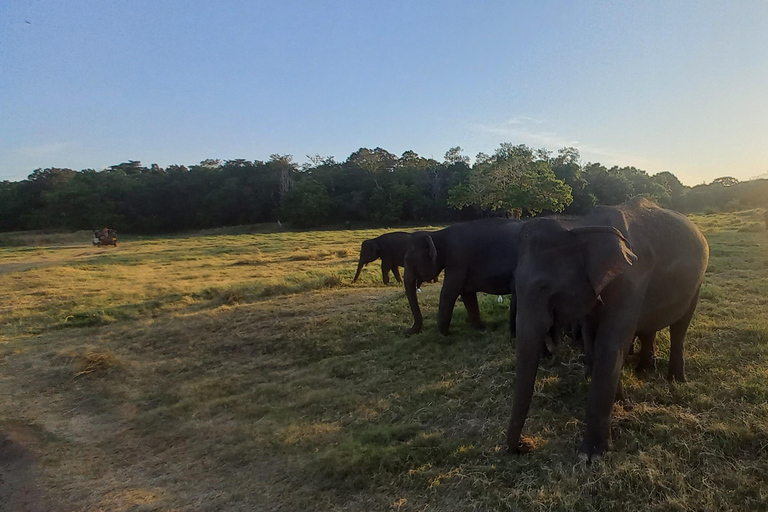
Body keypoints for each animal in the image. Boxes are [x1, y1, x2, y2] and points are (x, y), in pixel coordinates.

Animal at [508, 198, 712, 462]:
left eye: (543, 286)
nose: (525, 445)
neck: (581, 225)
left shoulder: (631, 280)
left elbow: (611, 345)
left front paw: (590, 456)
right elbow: (592, 341)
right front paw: (622, 401)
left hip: (697, 282)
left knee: (680, 326)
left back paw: (676, 379)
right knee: (650, 326)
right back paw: (646, 369)